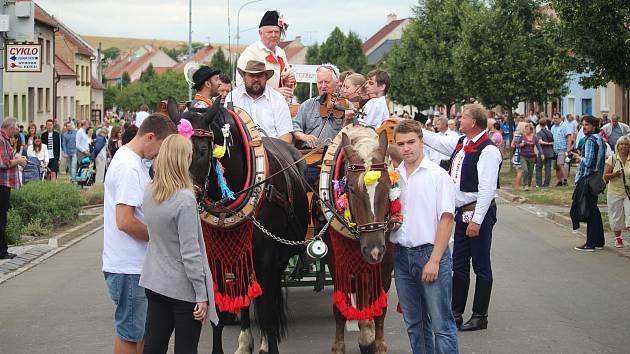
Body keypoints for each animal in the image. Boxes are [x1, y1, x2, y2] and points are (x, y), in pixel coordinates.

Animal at [165, 97, 308, 354]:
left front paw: (269, 344)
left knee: (266, 301)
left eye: (202, 151)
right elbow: (220, 314)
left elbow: (268, 313)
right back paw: (245, 341)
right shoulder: (214, 261)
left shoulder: (267, 260)